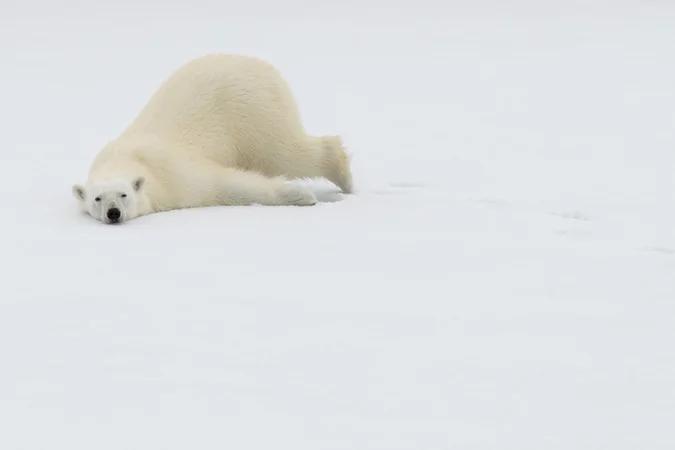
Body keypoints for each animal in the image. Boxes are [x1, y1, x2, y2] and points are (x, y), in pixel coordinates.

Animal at [72, 54, 352, 224]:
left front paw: (299, 195)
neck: (129, 158)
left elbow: (223, 184)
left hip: (253, 111)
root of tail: (263, 67)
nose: (113, 213)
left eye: (123, 194)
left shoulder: (173, 173)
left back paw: (345, 179)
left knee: (284, 153)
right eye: (97, 198)